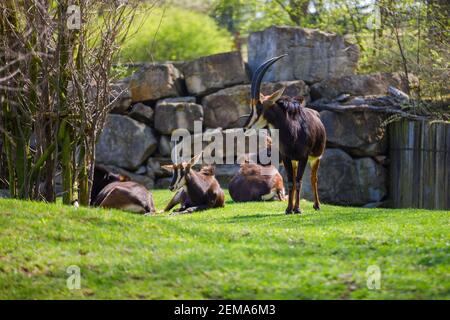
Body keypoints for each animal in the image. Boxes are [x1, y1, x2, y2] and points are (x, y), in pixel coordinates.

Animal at [244, 55, 326, 215]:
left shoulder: (304, 157)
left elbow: (299, 181)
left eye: (259, 107)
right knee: (294, 179)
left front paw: (298, 208)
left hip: (316, 158)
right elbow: (290, 182)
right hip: (294, 161)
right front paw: (289, 209)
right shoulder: (287, 157)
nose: (245, 128)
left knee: (313, 179)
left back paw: (317, 205)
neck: (292, 132)